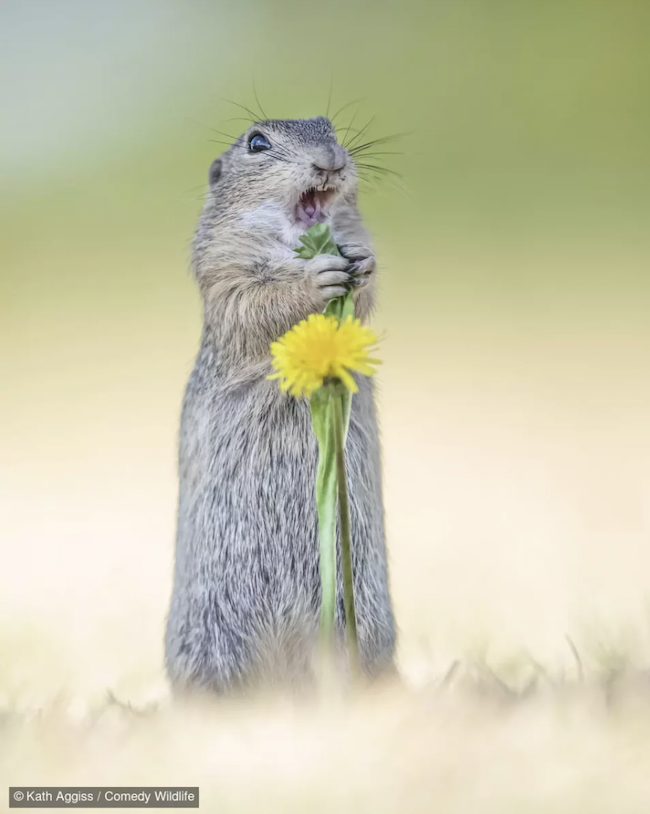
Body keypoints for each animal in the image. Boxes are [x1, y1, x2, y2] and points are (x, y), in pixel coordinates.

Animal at [163, 116, 394, 696]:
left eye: (330, 127)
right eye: (257, 143)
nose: (330, 159)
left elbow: (364, 297)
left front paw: (362, 262)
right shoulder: (224, 274)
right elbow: (256, 302)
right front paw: (315, 280)